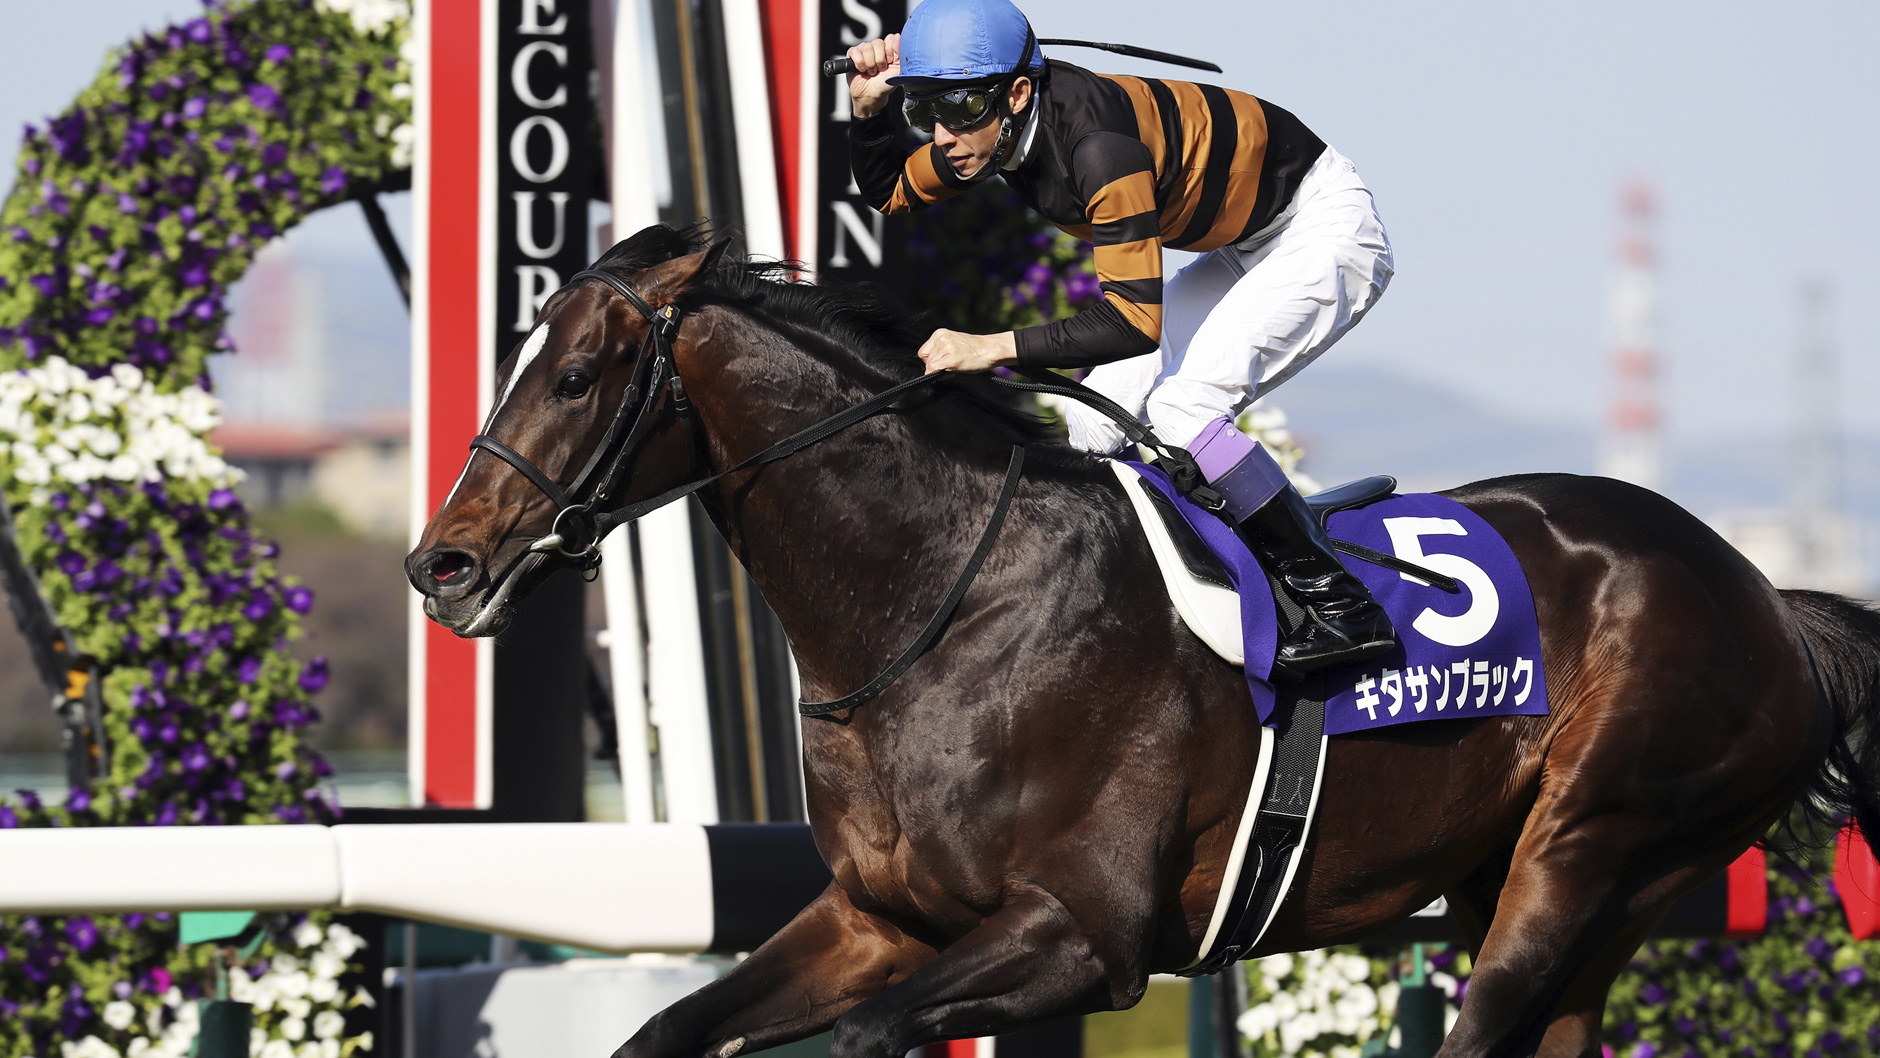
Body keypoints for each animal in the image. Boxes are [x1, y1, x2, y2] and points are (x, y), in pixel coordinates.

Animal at [405, 225, 1880, 1058]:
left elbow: (879, 1034)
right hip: (1534, 880)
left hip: (1594, 848)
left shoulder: (1085, 933)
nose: (442, 563)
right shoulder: (875, 918)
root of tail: (1768, 596)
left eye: (576, 375)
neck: (940, 603)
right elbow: (666, 1025)